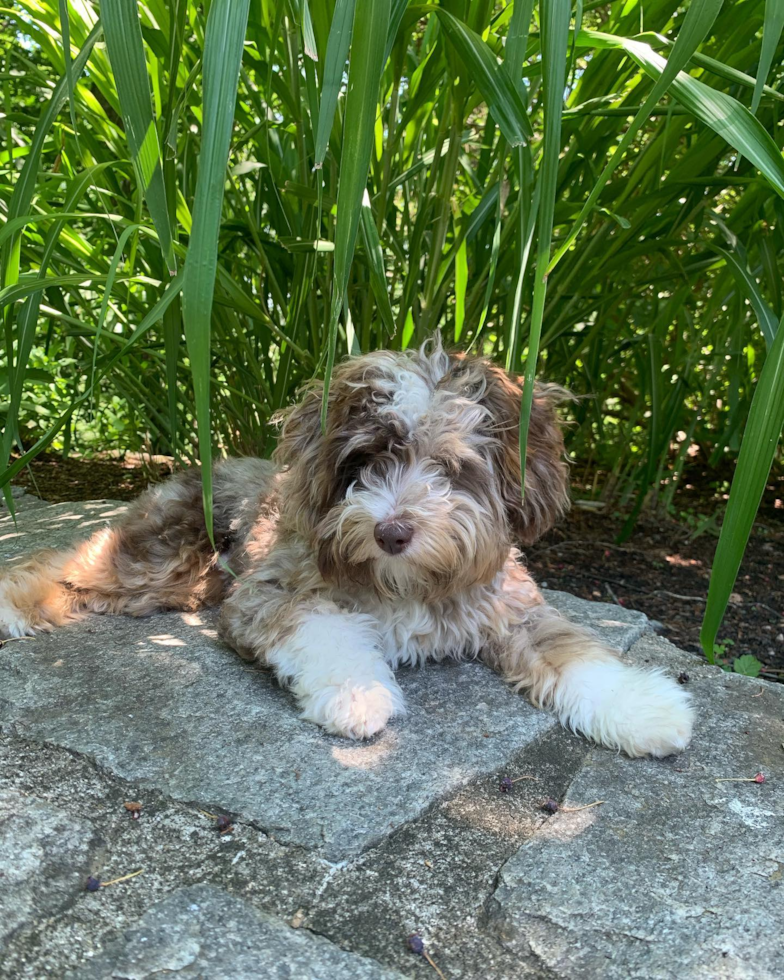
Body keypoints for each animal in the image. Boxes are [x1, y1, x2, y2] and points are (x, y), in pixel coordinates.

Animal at [0, 340, 688, 756]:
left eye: (450, 467)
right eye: (366, 461)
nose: (391, 531)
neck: (409, 579)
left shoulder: (513, 607)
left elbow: (578, 652)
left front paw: (645, 707)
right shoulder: (270, 592)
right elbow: (323, 630)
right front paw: (357, 693)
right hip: (161, 553)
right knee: (67, 565)